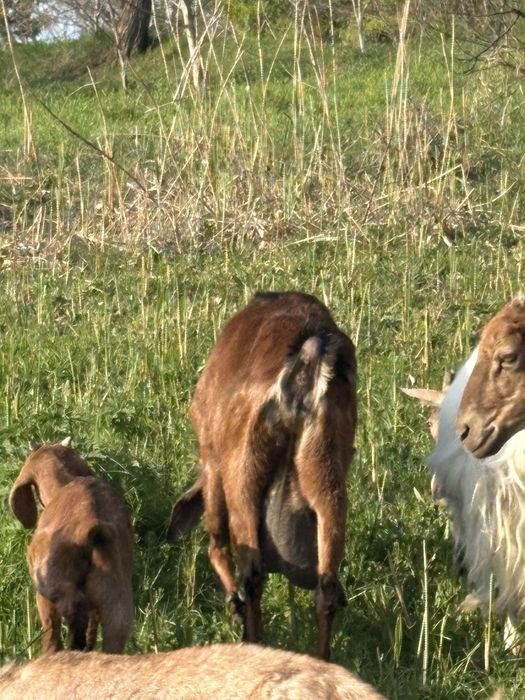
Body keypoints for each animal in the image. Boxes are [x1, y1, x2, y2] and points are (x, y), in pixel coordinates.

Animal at [9, 439, 134, 654]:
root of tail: (92, 525)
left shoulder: (42, 593)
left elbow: (50, 630)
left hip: (54, 583)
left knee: (75, 612)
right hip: (116, 601)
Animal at [168, 292, 357, 660]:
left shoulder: (211, 459)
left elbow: (217, 542)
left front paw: (233, 606)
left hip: (244, 478)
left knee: (251, 576)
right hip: (325, 476)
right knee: (326, 588)